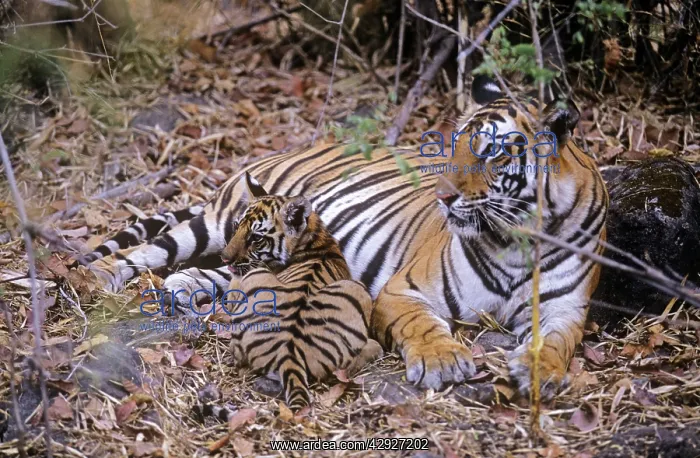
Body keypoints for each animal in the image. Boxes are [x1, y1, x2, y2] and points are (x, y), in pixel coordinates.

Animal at [217, 172, 382, 409]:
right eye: (237, 227)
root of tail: (289, 357)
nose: (224, 258)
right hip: (357, 289)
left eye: (256, 238)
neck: (314, 234)